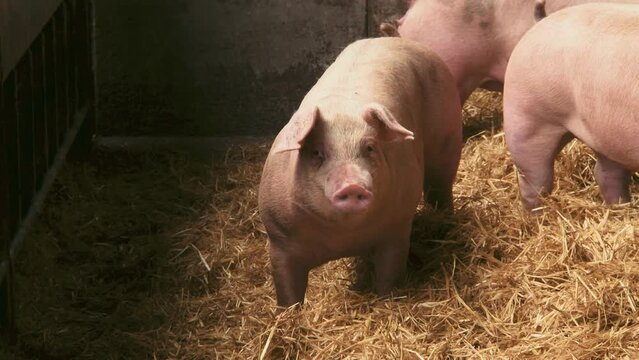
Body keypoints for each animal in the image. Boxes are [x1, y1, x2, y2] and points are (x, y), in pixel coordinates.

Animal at [258, 35, 462, 306]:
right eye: (317, 153)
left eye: (369, 148)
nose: (352, 185)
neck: (344, 236)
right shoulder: (280, 241)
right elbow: (288, 292)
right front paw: (288, 313)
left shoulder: (395, 230)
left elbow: (389, 277)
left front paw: (388, 300)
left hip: (448, 134)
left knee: (440, 187)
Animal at [504, 2, 639, 210]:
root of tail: (540, 22)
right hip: (526, 117)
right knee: (533, 180)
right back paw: (535, 214)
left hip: (606, 134)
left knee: (607, 174)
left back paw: (620, 207)